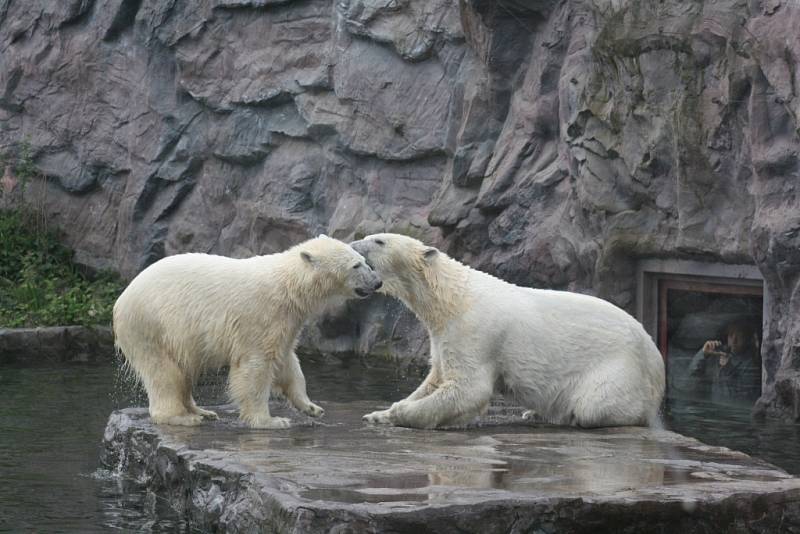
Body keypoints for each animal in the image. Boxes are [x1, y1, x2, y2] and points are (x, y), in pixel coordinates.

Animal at [111, 237, 382, 430]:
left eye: (364, 260)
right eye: (356, 264)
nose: (377, 282)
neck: (288, 286)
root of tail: (122, 299)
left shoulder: (287, 321)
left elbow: (287, 362)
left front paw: (311, 407)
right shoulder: (260, 316)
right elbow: (255, 367)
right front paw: (270, 421)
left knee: (183, 371)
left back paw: (202, 411)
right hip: (151, 326)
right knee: (165, 373)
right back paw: (182, 417)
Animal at [354, 234, 664, 432]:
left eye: (379, 240)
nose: (354, 245)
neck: (452, 297)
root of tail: (656, 360)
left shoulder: (473, 329)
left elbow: (469, 388)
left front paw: (397, 414)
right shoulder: (442, 334)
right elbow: (435, 378)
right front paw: (378, 414)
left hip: (619, 368)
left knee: (595, 405)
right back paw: (535, 412)